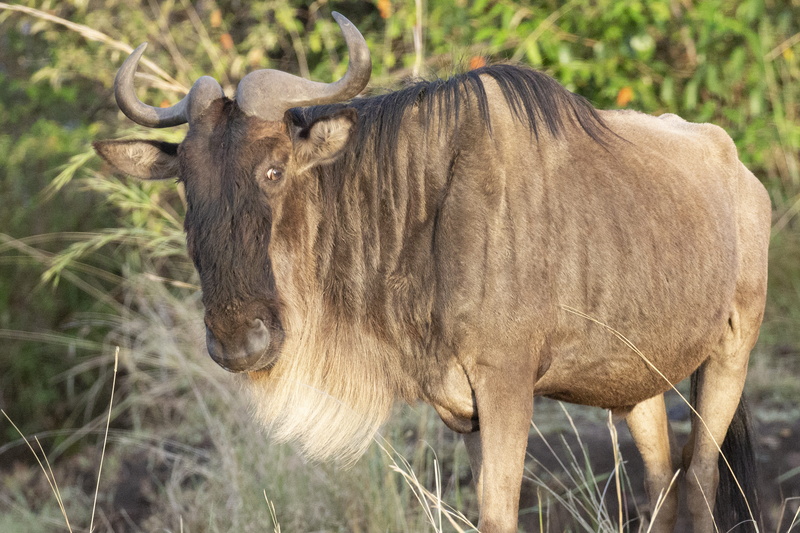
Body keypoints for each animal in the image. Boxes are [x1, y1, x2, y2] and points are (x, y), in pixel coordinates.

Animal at [94, 12, 770, 533]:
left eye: (274, 169)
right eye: (187, 181)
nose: (239, 341)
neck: (423, 210)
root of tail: (743, 175)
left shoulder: (506, 387)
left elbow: (499, 516)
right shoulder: (460, 407)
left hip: (730, 354)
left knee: (699, 479)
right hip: (639, 386)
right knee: (662, 485)